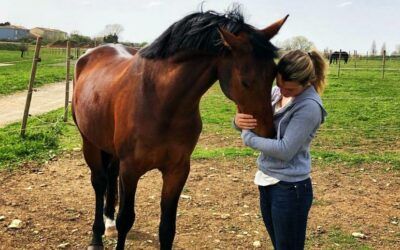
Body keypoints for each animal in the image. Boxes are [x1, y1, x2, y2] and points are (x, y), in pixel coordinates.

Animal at [72, 8, 288, 250]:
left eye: (274, 74)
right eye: (245, 81)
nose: (268, 133)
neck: (161, 101)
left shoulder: (177, 170)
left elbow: (167, 228)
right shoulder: (131, 170)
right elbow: (126, 220)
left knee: (110, 175)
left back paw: (108, 222)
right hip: (89, 142)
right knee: (99, 182)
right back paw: (96, 237)